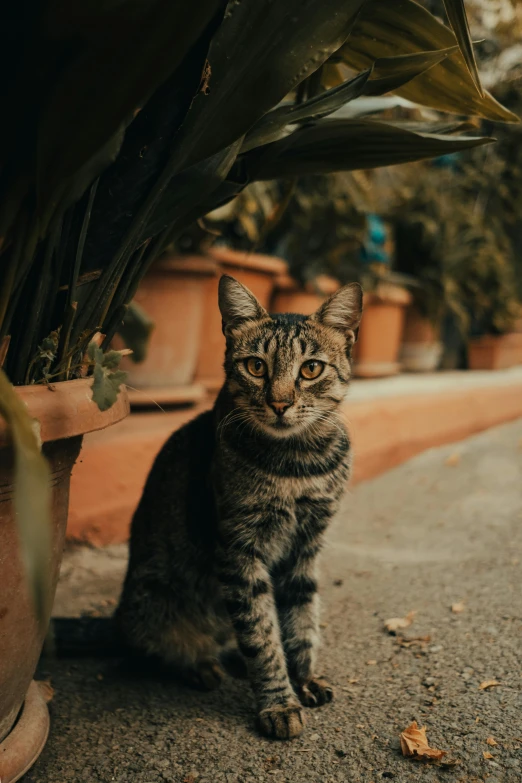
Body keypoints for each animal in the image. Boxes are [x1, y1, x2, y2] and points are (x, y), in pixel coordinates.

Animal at [116, 276, 362, 740]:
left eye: (311, 369)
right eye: (256, 367)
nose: (280, 403)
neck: (299, 463)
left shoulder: (306, 547)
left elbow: (301, 619)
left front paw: (303, 679)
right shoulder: (240, 551)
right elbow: (262, 635)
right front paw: (279, 703)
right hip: (152, 603)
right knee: (161, 649)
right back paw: (202, 666)